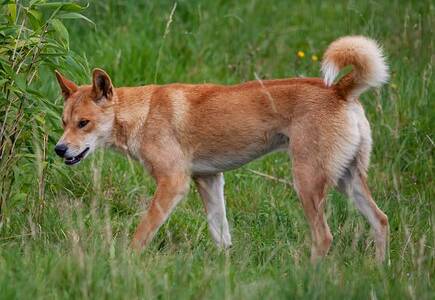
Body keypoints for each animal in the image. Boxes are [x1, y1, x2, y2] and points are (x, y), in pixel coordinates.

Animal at [55, 35, 392, 262]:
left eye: (83, 123)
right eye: (64, 122)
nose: (59, 149)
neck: (144, 113)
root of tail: (339, 90)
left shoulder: (173, 183)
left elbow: (142, 233)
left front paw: (128, 261)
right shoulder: (209, 180)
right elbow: (221, 236)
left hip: (307, 182)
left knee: (324, 237)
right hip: (348, 179)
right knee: (381, 220)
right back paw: (378, 271)